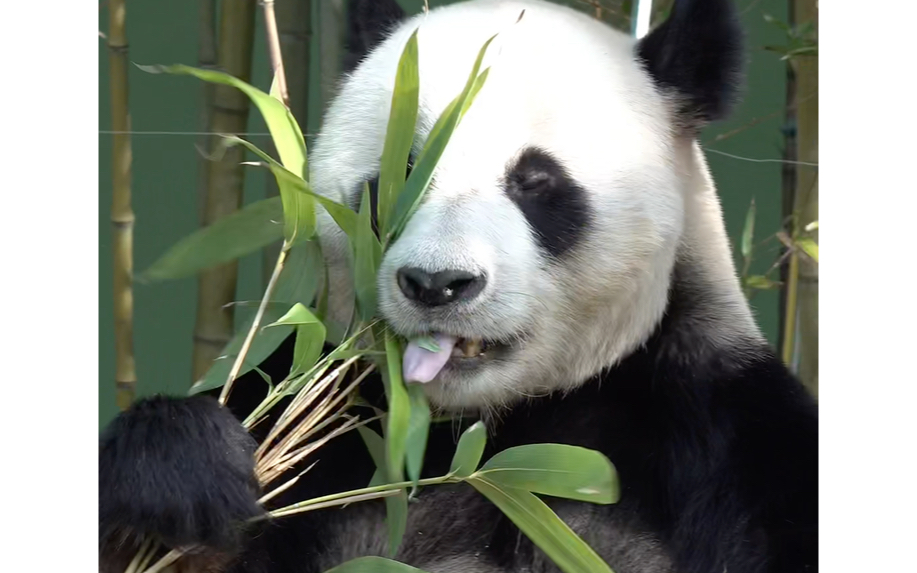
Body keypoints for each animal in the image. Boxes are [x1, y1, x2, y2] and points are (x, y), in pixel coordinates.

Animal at [98, 1, 816, 572]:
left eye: (535, 182)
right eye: (399, 175)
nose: (437, 283)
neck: (487, 427)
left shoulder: (719, 444)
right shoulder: (330, 428)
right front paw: (178, 469)